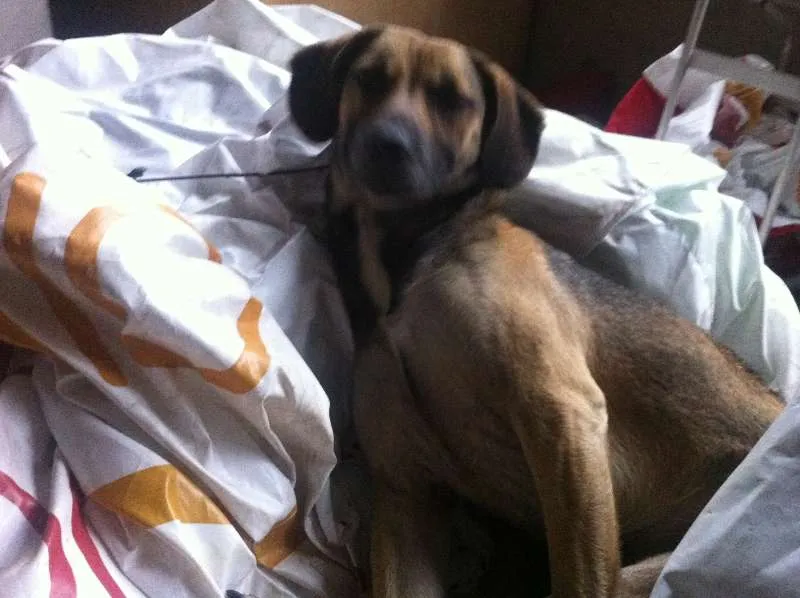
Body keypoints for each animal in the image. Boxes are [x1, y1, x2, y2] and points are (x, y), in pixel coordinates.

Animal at [288, 26, 784, 598]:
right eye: (367, 79)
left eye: (451, 100)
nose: (388, 145)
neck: (406, 263)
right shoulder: (406, 495)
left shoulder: (561, 410)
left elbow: (579, 576)